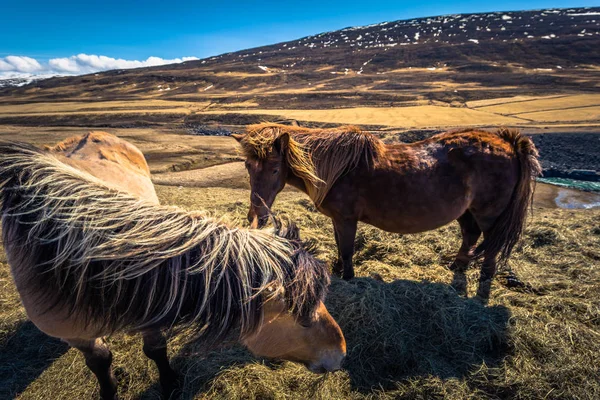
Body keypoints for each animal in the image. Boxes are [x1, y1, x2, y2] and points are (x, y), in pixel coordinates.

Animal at [0, 135, 344, 400]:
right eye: (304, 319)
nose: (340, 353)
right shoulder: (77, 335)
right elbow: (100, 362)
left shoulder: (152, 306)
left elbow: (155, 349)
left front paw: (169, 384)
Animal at [232, 123, 540, 302]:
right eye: (247, 166)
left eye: (275, 169)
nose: (257, 215)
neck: (334, 168)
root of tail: (507, 143)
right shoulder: (338, 220)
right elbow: (339, 245)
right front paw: (338, 270)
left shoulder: (346, 219)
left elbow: (347, 249)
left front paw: (348, 277)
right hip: (467, 212)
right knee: (470, 236)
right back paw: (457, 267)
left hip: (489, 214)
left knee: (491, 247)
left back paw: (484, 283)